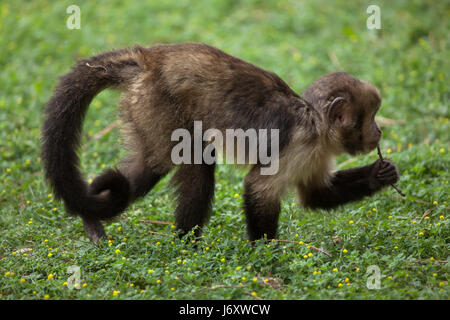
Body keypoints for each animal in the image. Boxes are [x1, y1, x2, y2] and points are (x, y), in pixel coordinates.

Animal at [42, 42, 400, 242]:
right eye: (369, 117)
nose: (379, 131)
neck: (316, 123)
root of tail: (148, 59)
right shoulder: (301, 143)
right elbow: (259, 188)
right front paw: (266, 257)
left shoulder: (317, 152)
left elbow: (316, 195)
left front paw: (379, 175)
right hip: (159, 102)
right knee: (195, 160)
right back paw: (187, 248)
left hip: (141, 109)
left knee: (148, 166)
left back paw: (91, 215)